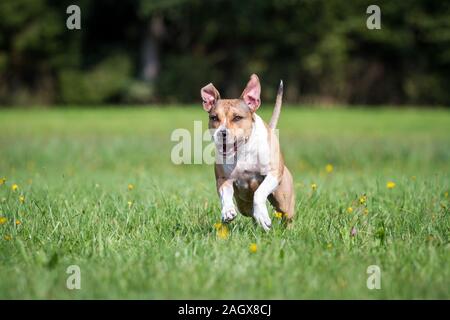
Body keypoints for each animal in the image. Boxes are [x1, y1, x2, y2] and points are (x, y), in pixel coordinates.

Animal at [200, 74, 296, 231]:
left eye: (237, 117)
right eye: (214, 118)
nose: (222, 133)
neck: (243, 151)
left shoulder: (273, 174)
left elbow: (259, 193)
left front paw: (263, 216)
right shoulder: (223, 179)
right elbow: (225, 196)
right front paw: (227, 211)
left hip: (283, 199)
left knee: (286, 215)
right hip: (243, 204)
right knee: (249, 212)